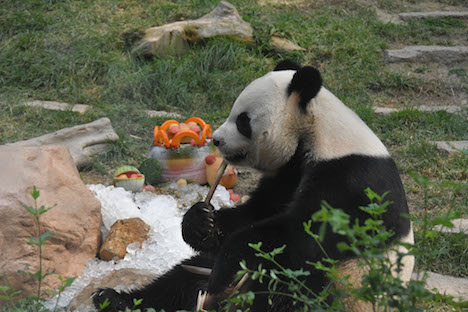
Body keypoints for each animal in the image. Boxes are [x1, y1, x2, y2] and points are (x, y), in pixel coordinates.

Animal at [93, 61, 414, 312]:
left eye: (243, 120)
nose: (217, 140)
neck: (319, 131)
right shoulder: (290, 170)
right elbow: (259, 210)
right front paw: (200, 222)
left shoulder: (351, 179)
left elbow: (303, 235)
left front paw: (230, 256)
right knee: (179, 280)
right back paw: (115, 300)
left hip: (343, 287)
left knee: (289, 288)